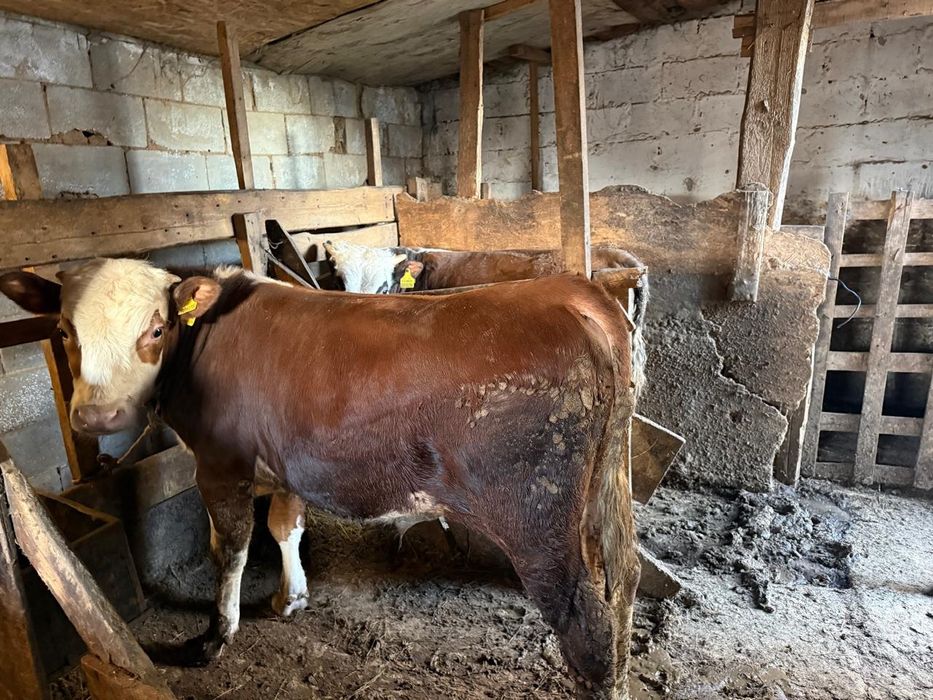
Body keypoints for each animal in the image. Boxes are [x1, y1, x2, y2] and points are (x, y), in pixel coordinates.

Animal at [1, 259, 640, 699]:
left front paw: (215, 637)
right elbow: (285, 527)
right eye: (64, 331)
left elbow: (228, 549)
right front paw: (292, 597)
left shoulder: (221, 464)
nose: (98, 417)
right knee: (625, 580)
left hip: (536, 518)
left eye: (156, 330)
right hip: (606, 492)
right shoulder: (286, 462)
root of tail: (573, 292)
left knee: (584, 618)